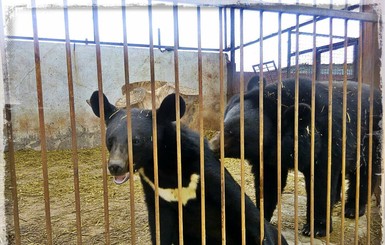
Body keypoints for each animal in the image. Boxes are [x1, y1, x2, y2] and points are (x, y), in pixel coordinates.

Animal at [89, 91, 288, 245]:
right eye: (109, 141)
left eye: (137, 141)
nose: (115, 167)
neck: (163, 163)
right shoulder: (154, 190)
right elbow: (160, 226)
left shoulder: (205, 170)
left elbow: (243, 210)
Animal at [210, 78, 380, 237]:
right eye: (223, 125)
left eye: (234, 135)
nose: (211, 147)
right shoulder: (269, 158)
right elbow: (268, 183)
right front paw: (262, 218)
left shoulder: (325, 139)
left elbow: (321, 182)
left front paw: (316, 229)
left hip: (369, 139)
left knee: (365, 173)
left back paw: (352, 209)